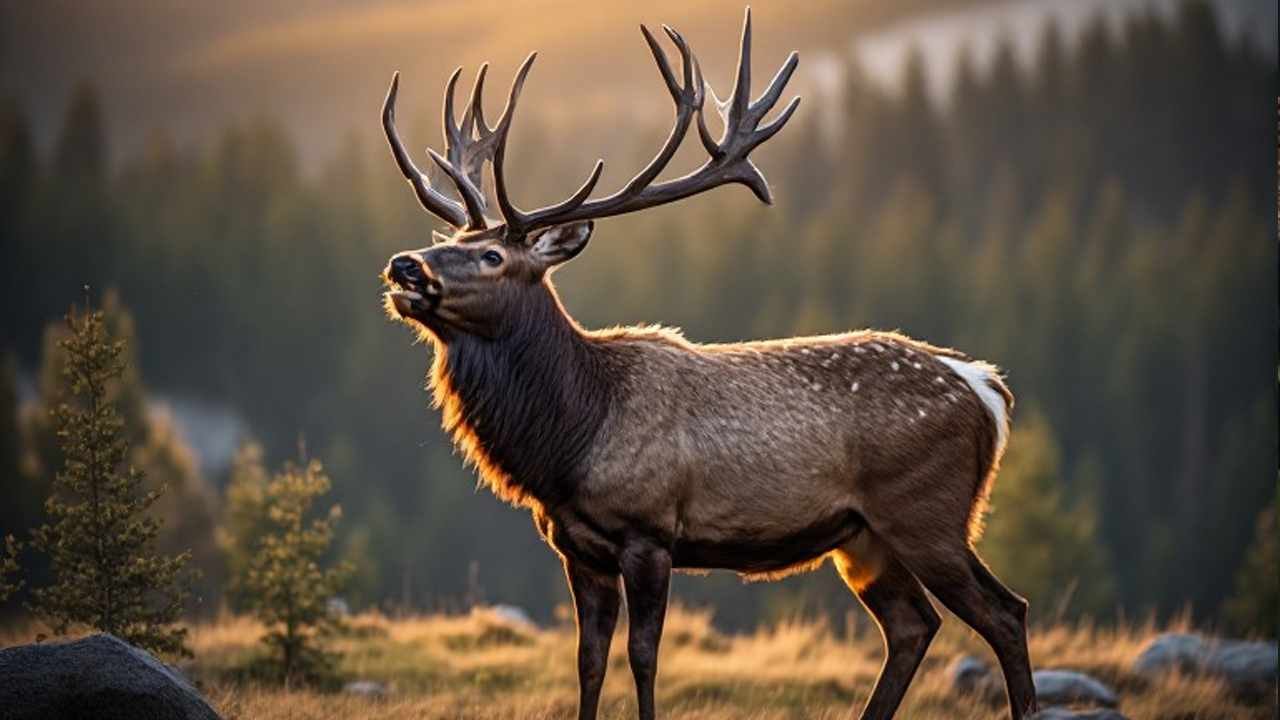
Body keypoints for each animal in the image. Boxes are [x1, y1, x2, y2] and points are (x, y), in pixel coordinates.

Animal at [379, 9, 1037, 720]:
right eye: (451, 241)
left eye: (493, 257)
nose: (404, 265)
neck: (570, 441)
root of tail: (985, 388)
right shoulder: (577, 548)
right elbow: (588, 662)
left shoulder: (650, 532)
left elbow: (643, 657)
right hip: (864, 538)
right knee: (914, 625)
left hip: (926, 513)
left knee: (1005, 612)